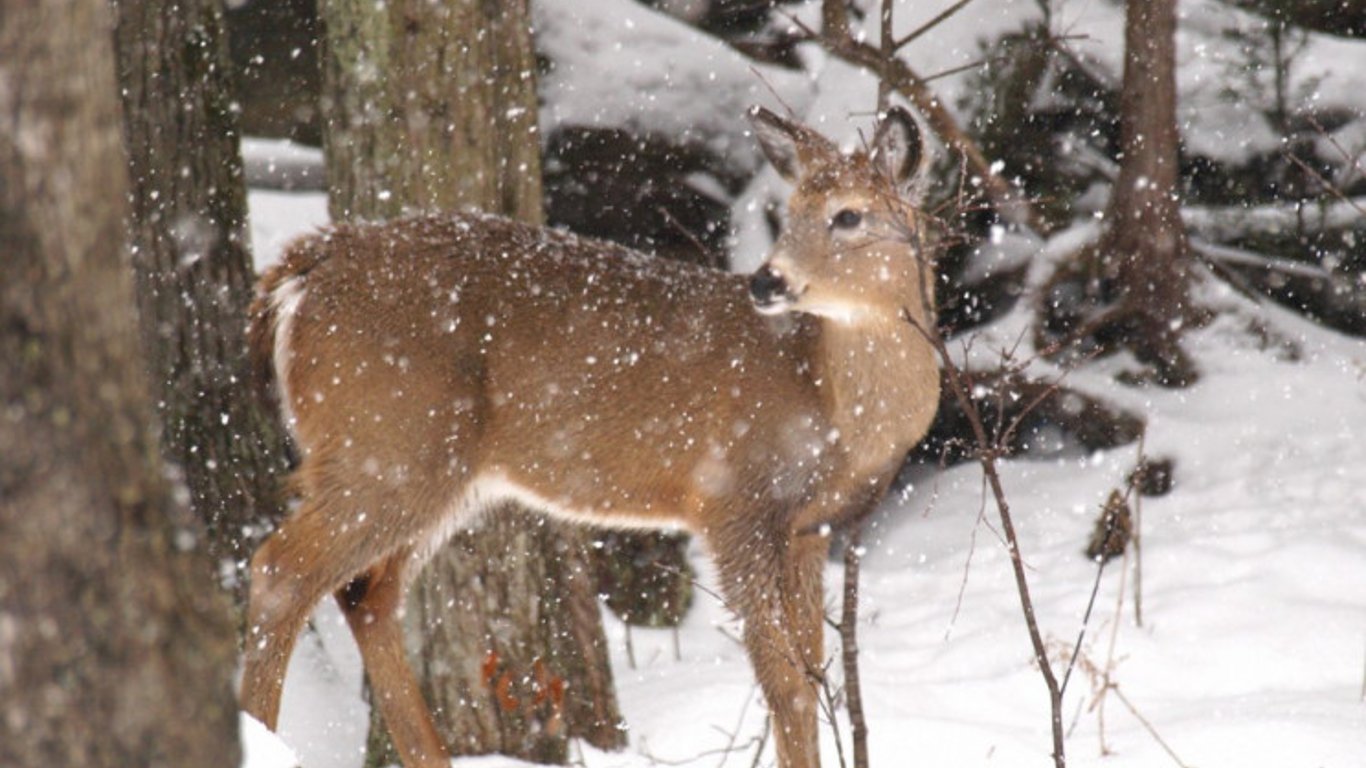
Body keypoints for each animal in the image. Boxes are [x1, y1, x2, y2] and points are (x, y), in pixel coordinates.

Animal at [240, 105, 939, 765]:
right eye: (791, 213)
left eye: (849, 215)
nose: (767, 281)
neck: (834, 404)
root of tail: (310, 265)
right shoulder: (732, 500)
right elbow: (786, 684)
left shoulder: (808, 528)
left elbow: (817, 674)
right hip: (388, 442)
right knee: (281, 571)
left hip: (437, 470)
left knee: (367, 594)